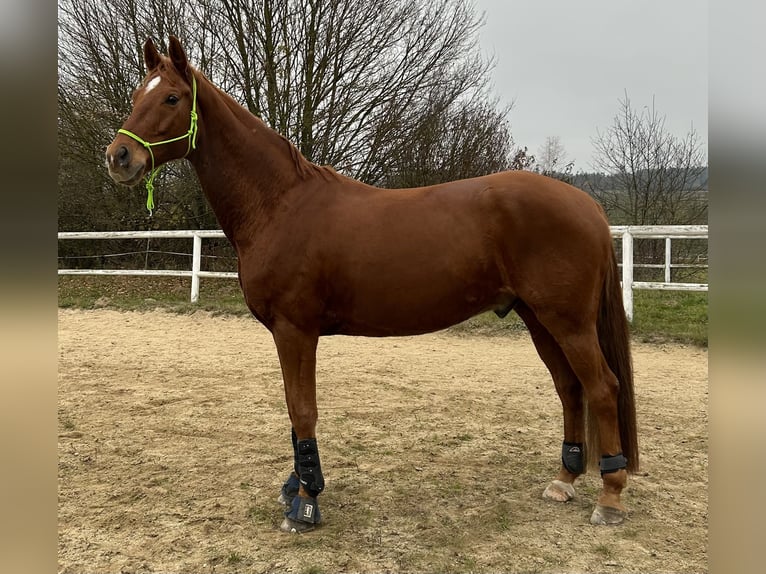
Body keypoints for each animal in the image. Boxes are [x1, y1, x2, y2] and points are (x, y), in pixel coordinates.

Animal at [105, 37, 640, 536]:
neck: (280, 204)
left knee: (601, 387)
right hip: (538, 318)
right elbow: (292, 409)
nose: (118, 157)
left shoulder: (295, 330)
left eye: (172, 98)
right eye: (136, 94)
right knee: (570, 388)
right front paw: (295, 487)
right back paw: (564, 481)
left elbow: (303, 409)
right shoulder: (287, 333)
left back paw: (609, 497)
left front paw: (305, 502)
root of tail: (587, 205)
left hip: (567, 321)